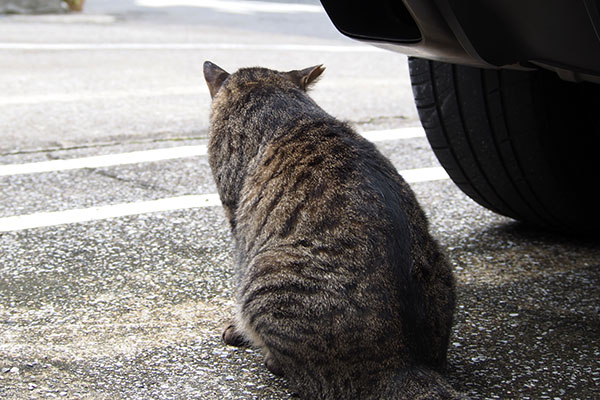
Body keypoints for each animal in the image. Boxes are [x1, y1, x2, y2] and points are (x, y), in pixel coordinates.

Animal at [204, 60, 462, 400]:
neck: (280, 103)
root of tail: (404, 363)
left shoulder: (234, 213)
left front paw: (237, 328)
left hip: (265, 275)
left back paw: (269, 356)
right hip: (441, 262)